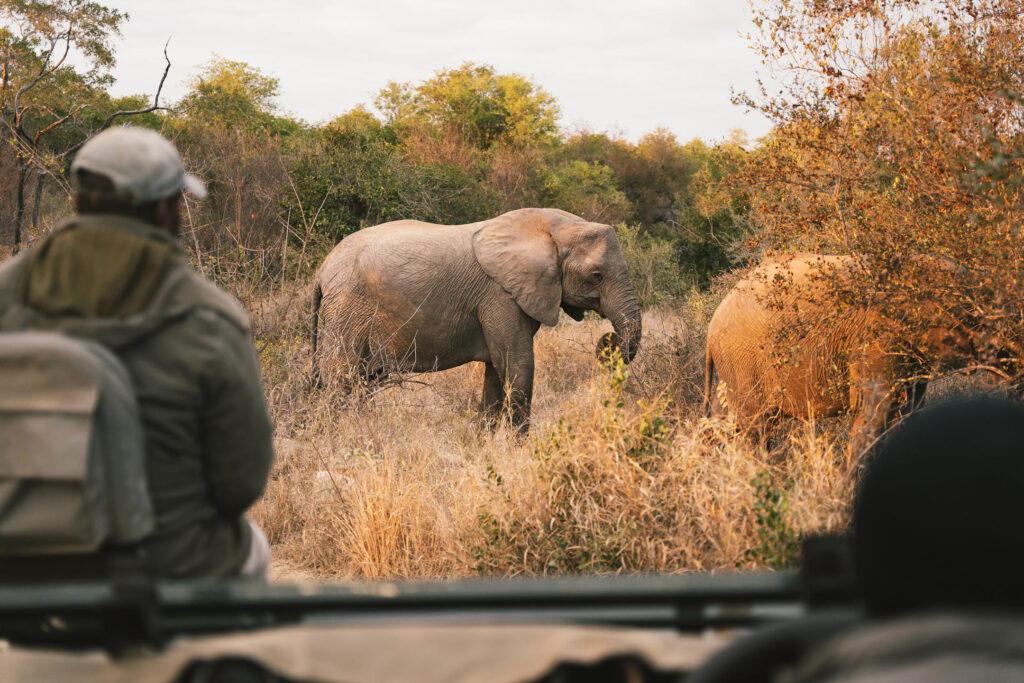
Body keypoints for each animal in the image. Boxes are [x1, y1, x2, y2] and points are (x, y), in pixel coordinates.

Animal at [310, 208, 642, 430]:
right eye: (597, 276)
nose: (608, 340)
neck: (551, 230)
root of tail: (322, 268)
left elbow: (497, 370)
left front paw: (485, 444)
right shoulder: (500, 295)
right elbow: (518, 364)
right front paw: (517, 452)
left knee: (360, 381)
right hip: (349, 306)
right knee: (341, 376)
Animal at [703, 253, 974, 457]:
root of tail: (713, 321)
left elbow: (906, 413)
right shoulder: (874, 339)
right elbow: (874, 413)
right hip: (742, 360)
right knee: (754, 427)